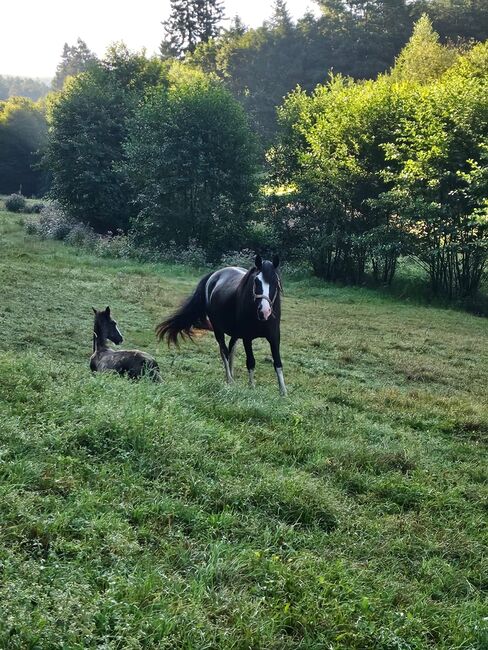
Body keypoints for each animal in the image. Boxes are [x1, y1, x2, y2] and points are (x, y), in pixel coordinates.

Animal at [155, 254, 286, 394]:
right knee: (224, 351)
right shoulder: (247, 338)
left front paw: (283, 392)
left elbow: (278, 363)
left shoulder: (274, 337)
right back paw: (229, 379)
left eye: (276, 282)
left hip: (235, 333)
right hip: (218, 329)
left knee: (230, 350)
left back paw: (232, 376)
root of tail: (213, 275)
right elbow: (251, 362)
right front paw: (252, 387)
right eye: (256, 281)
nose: (264, 311)